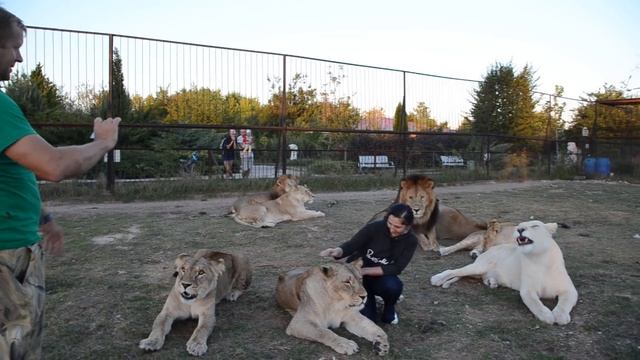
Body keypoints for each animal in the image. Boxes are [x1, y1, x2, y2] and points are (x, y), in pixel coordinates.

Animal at [430, 221, 580, 324]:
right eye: (520, 226)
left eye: (535, 226)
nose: (520, 229)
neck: (540, 259)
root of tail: (489, 250)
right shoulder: (527, 291)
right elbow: (535, 304)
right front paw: (547, 316)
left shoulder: (570, 290)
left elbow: (564, 303)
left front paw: (560, 316)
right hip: (478, 267)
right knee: (454, 271)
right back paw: (437, 279)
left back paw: (492, 282)